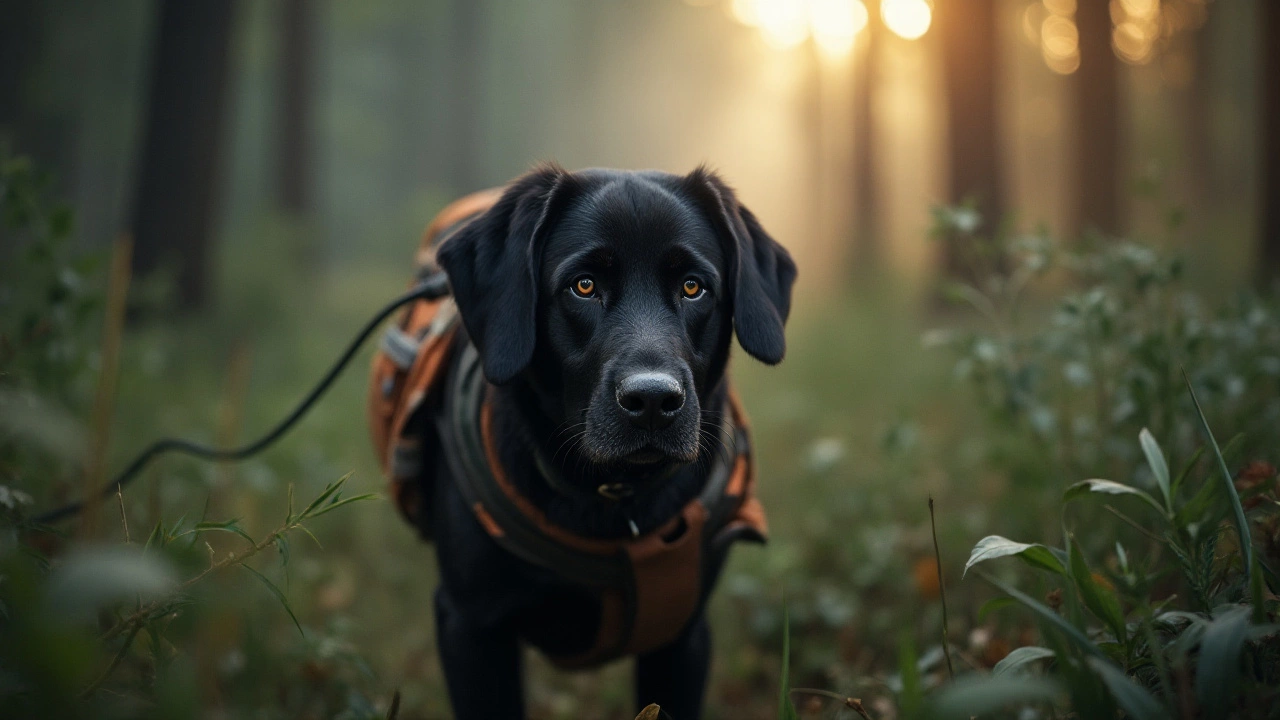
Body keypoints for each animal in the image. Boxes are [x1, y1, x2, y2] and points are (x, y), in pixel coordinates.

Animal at [424, 165, 793, 712]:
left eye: (693, 287)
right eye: (584, 285)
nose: (653, 401)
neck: (616, 500)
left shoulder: (683, 635)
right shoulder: (470, 627)